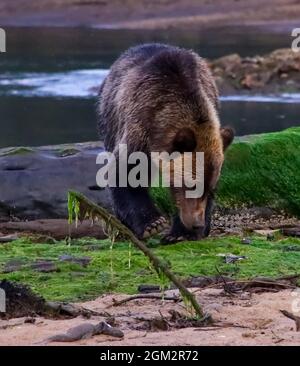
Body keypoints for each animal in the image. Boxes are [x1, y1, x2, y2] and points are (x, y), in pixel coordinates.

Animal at [97, 43, 233, 243]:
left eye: (210, 189)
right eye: (191, 184)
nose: (197, 223)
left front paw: (183, 232)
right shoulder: (139, 128)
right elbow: (125, 173)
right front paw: (152, 224)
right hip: (109, 120)